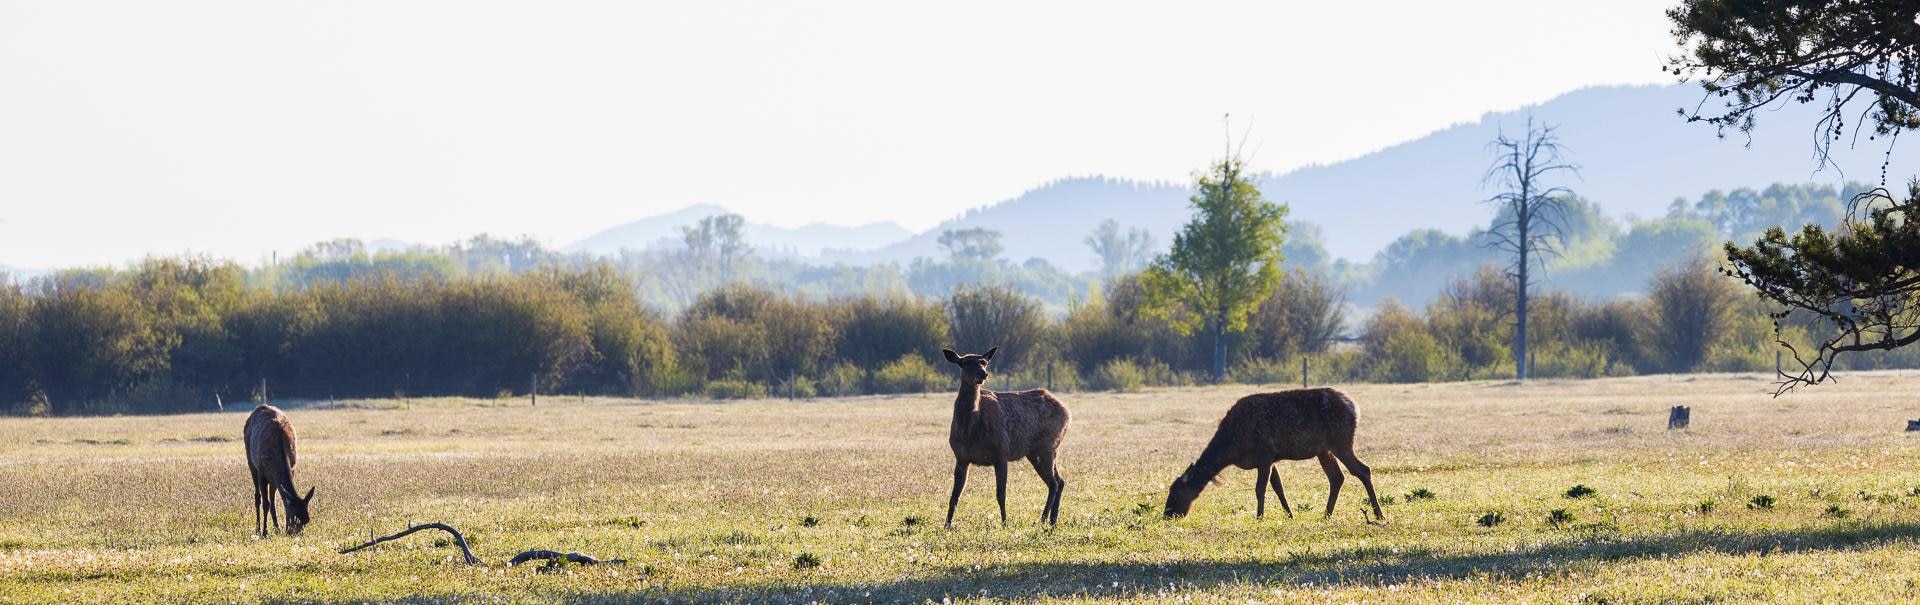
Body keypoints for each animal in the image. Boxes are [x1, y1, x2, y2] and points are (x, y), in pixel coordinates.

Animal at [245, 404, 315, 537]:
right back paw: (258, 529)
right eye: (294, 517)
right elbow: (265, 503)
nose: (294, 534)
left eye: (307, 520)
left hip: (273, 478)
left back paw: (277, 528)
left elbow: (280, 499)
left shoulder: (293, 467)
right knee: (258, 497)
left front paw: (278, 529)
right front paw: (265, 532)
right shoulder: (262, 470)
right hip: (251, 461)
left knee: (273, 499)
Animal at [941, 347, 1071, 528]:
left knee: (1053, 482)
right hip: (1034, 451)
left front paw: (1004, 523)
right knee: (1059, 481)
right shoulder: (961, 457)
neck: (971, 430)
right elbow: (954, 495)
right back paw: (1052, 520)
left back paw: (1043, 519)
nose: (983, 373)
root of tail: (1067, 412)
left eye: (984, 362)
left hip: (1048, 444)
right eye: (965, 363)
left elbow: (1000, 494)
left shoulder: (1001, 453)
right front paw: (947, 525)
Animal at [1163, 387, 1382, 522]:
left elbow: (1260, 488)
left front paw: (1259, 517)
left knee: (1363, 470)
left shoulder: (1265, 452)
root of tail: (1355, 408)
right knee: (1337, 477)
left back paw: (1378, 514)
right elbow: (1278, 487)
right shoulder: (1271, 458)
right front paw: (1290, 514)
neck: (1232, 449)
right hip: (1324, 449)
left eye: (1174, 493)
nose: (1167, 515)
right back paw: (1326, 514)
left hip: (1342, 441)